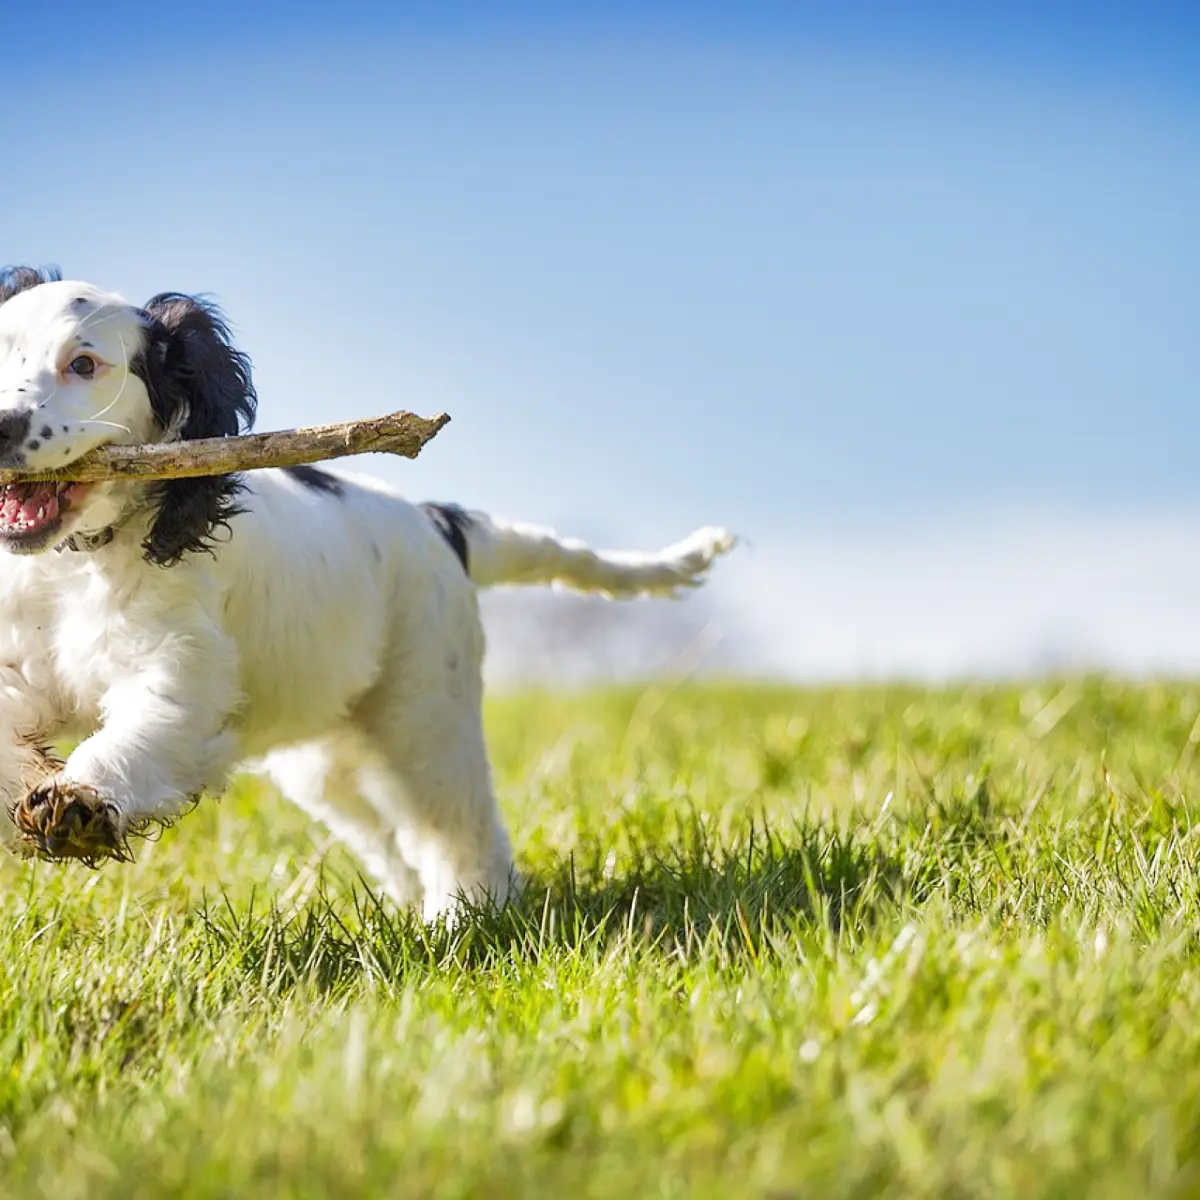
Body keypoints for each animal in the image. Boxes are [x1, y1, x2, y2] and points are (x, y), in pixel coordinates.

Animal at [0, 265, 729, 916]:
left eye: (84, 364)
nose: (3, 424)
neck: (77, 565)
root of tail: (438, 521)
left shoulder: (180, 672)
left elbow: (133, 736)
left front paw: (76, 802)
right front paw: (35, 787)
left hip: (424, 712)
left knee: (459, 829)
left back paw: (464, 920)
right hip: (328, 756)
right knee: (390, 837)